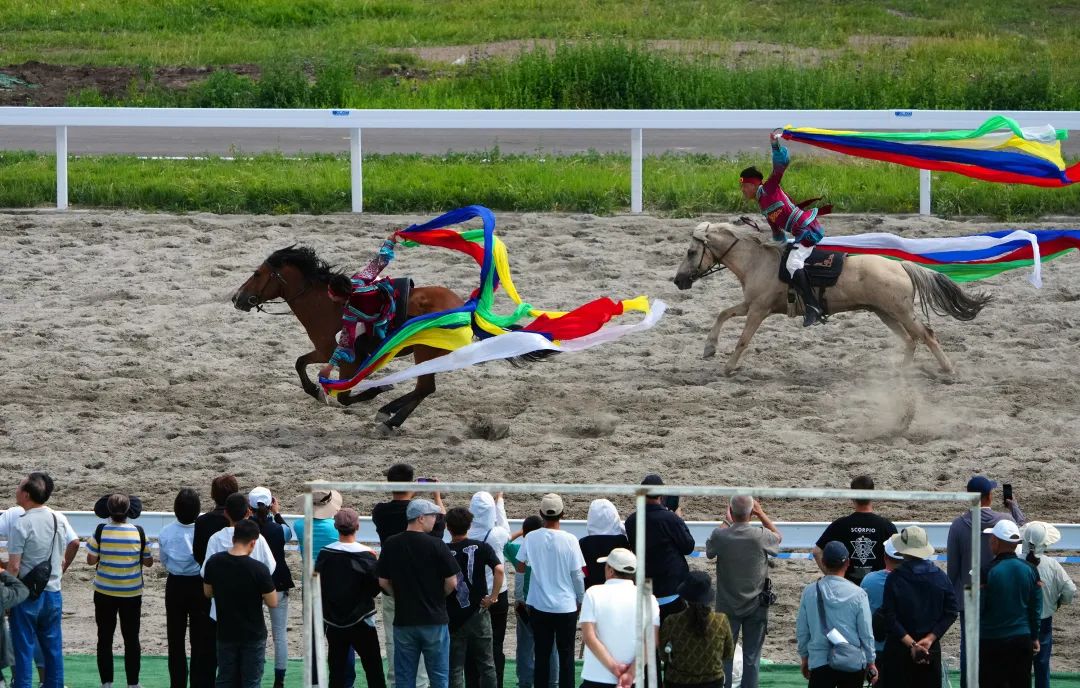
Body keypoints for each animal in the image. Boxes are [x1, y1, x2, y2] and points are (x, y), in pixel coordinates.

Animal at [232, 244, 460, 432]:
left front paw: (375, 390)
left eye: (257, 274)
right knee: (424, 389)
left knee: (424, 388)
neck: (327, 304)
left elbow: (343, 397)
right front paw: (314, 390)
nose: (237, 298)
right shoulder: (324, 351)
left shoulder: (345, 359)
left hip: (424, 352)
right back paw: (391, 417)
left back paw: (388, 415)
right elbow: (300, 362)